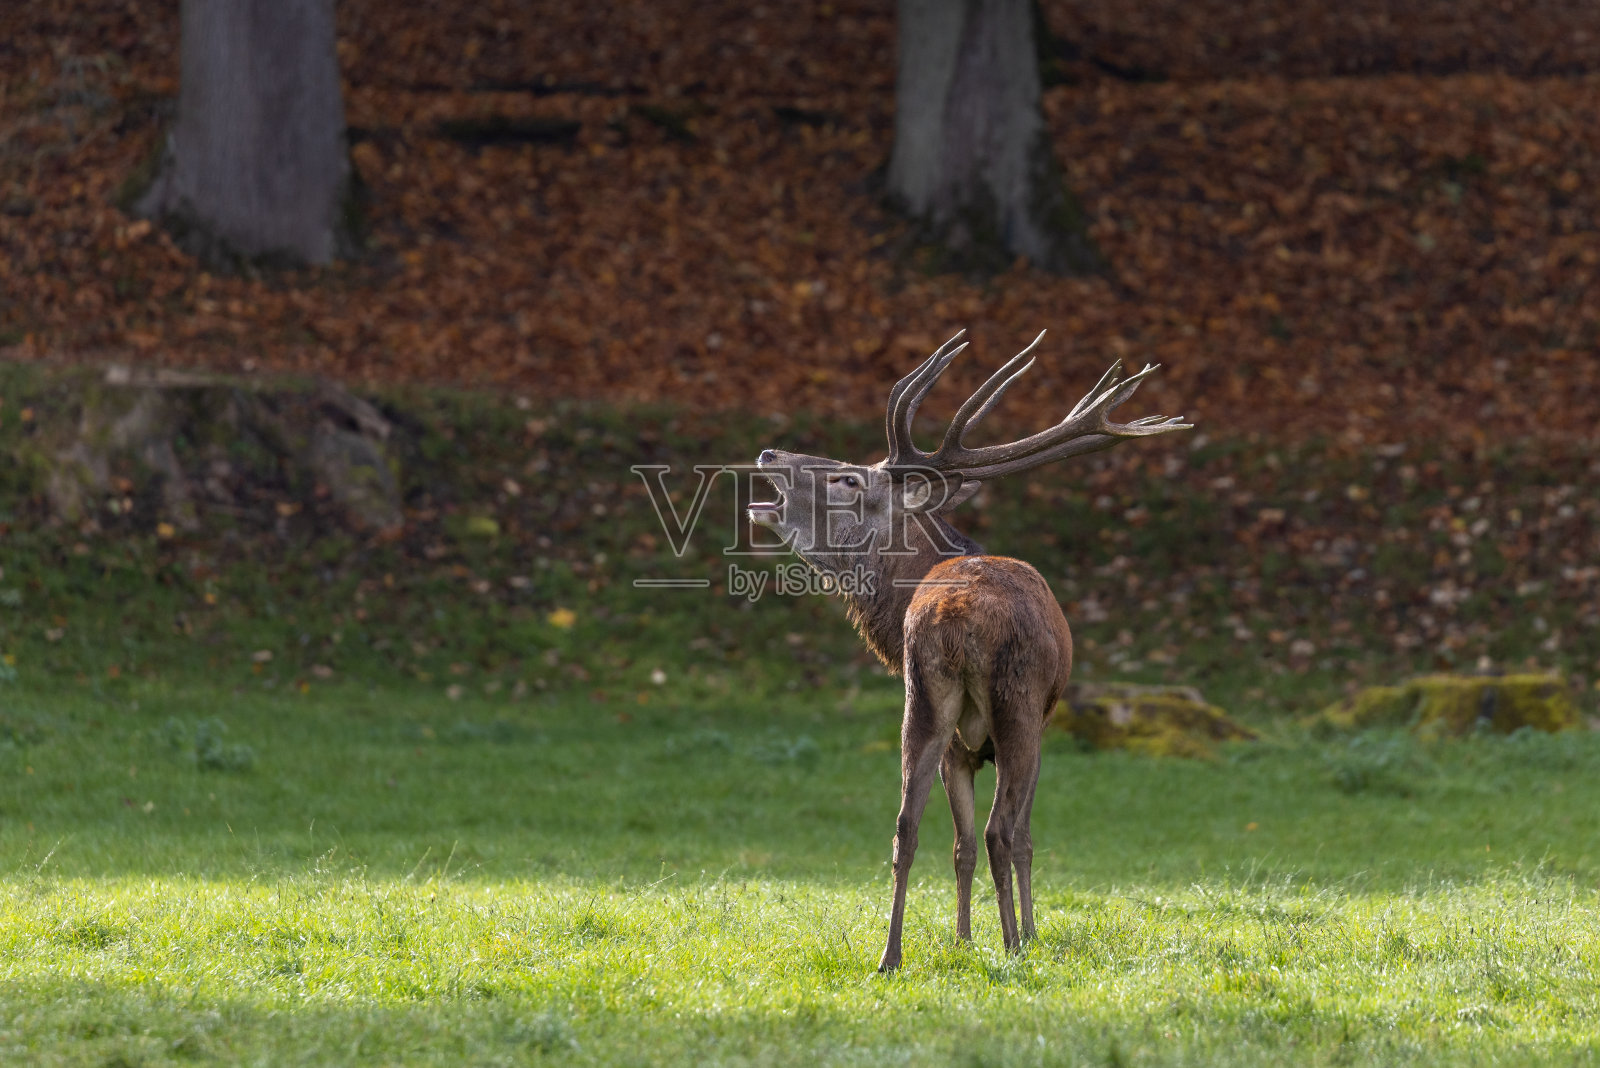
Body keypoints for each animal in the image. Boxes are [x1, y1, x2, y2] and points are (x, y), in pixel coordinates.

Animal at [746, 329, 1191, 972]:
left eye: (849, 480)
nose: (767, 455)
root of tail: (953, 616)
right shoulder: (1042, 728)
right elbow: (1019, 836)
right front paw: (1023, 931)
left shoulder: (959, 745)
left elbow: (956, 844)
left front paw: (961, 938)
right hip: (1018, 706)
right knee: (1001, 832)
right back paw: (1013, 947)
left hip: (924, 702)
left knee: (907, 827)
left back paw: (890, 955)